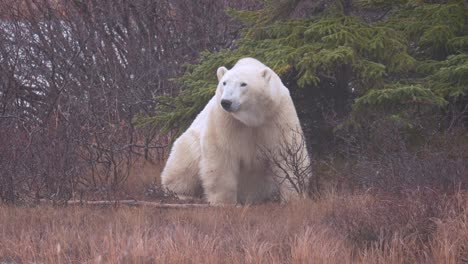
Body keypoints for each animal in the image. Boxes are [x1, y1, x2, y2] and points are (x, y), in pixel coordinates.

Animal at [161, 56, 310, 203]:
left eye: (243, 84)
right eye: (224, 83)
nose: (226, 102)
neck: (252, 118)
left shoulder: (277, 114)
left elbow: (288, 152)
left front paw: (294, 198)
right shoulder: (225, 118)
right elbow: (222, 153)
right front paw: (224, 202)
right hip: (189, 143)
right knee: (185, 163)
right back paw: (182, 194)